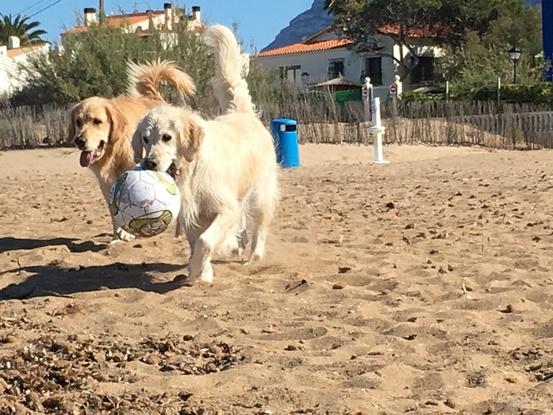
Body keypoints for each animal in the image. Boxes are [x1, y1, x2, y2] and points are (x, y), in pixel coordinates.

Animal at [133, 26, 278, 284]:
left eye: (167, 137)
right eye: (146, 139)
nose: (150, 162)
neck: (190, 170)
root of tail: (242, 113)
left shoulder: (226, 208)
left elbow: (205, 241)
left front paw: (198, 270)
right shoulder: (193, 213)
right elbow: (196, 242)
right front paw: (203, 271)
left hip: (261, 190)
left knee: (259, 225)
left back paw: (254, 254)